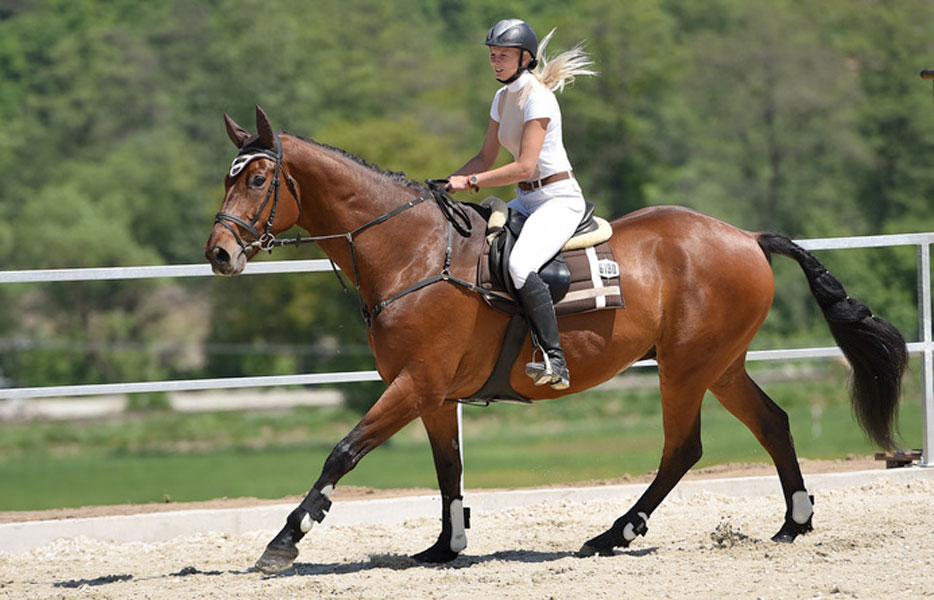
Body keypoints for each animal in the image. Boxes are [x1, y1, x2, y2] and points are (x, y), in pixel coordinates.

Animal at [205, 106, 907, 573]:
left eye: (259, 180)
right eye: (227, 178)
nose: (218, 253)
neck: (412, 252)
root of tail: (745, 237)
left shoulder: (415, 384)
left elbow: (342, 453)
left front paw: (285, 540)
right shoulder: (432, 395)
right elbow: (447, 469)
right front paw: (444, 547)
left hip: (685, 369)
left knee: (683, 448)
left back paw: (614, 534)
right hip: (720, 365)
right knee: (772, 423)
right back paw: (793, 523)